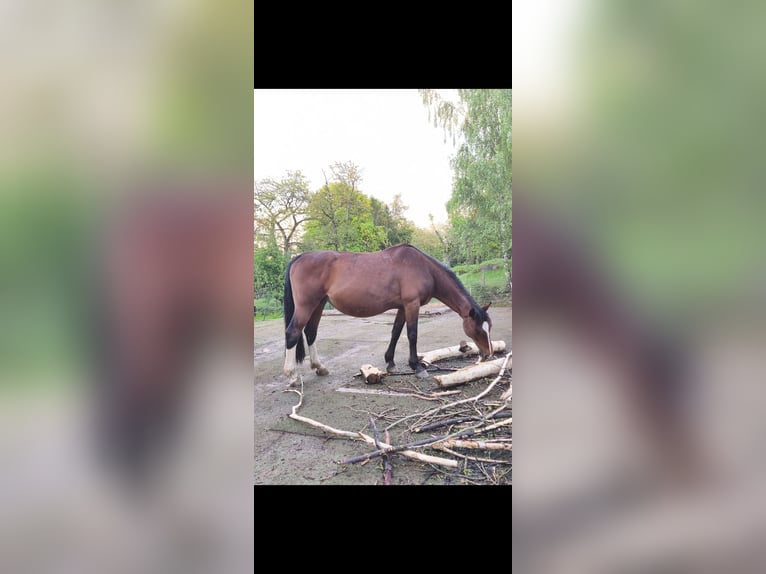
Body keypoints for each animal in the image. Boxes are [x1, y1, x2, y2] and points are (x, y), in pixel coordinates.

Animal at [282, 244, 494, 383]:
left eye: (489, 327)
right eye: (478, 330)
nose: (487, 354)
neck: (423, 267)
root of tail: (299, 257)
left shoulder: (402, 307)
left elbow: (395, 332)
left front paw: (390, 362)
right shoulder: (412, 305)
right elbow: (412, 334)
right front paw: (416, 367)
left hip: (318, 304)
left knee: (310, 333)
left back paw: (320, 368)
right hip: (306, 305)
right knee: (293, 332)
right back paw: (292, 375)